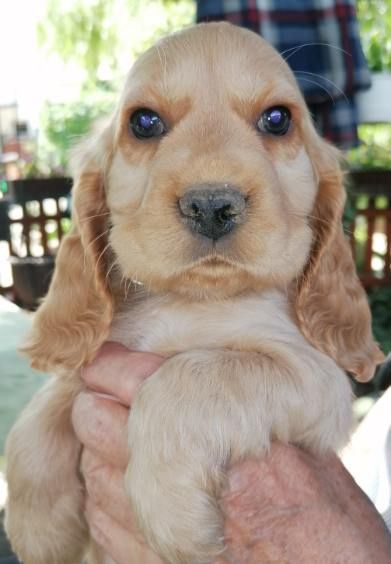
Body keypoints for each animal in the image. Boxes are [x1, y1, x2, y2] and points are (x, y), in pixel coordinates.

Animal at [4, 20, 384, 564]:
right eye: (144, 122)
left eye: (277, 120)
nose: (211, 205)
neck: (187, 299)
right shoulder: (97, 360)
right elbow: (44, 408)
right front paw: (37, 527)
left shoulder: (320, 382)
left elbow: (189, 377)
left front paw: (174, 517)